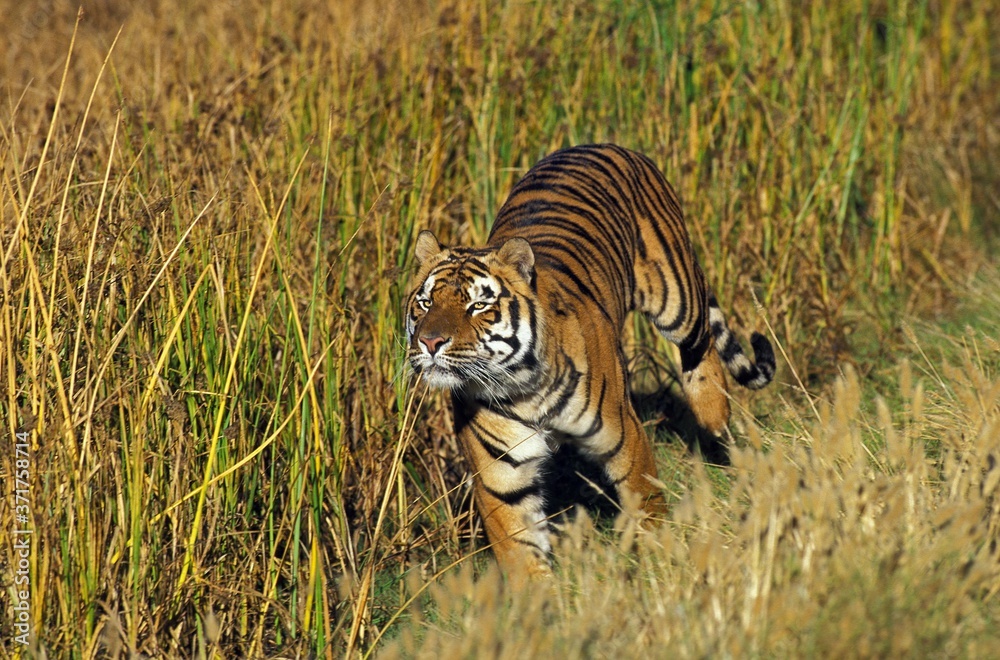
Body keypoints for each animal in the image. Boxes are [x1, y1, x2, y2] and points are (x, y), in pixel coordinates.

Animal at [405, 144, 775, 579]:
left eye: (478, 305)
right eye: (425, 302)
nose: (430, 341)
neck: (522, 389)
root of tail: (602, 144)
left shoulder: (624, 436)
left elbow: (646, 502)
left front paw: (659, 562)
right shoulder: (501, 476)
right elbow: (521, 552)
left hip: (676, 296)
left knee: (701, 342)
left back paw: (715, 415)